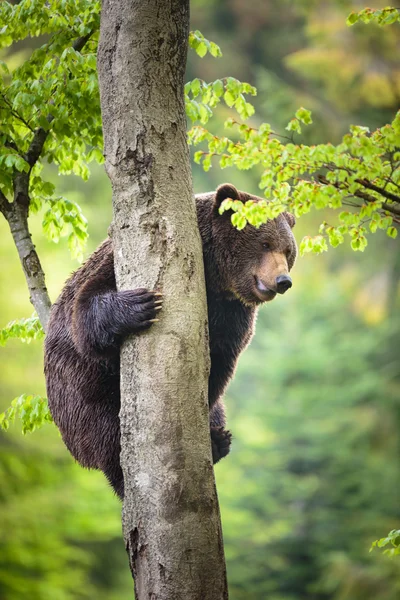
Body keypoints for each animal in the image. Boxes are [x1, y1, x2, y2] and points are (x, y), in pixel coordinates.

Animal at [43, 182, 296, 496]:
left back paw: (219, 440)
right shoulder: (116, 262)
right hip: (82, 393)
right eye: (265, 243)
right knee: (106, 432)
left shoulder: (231, 312)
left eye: (288, 250)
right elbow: (86, 312)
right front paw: (141, 304)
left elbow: (219, 364)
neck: (213, 274)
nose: (283, 281)